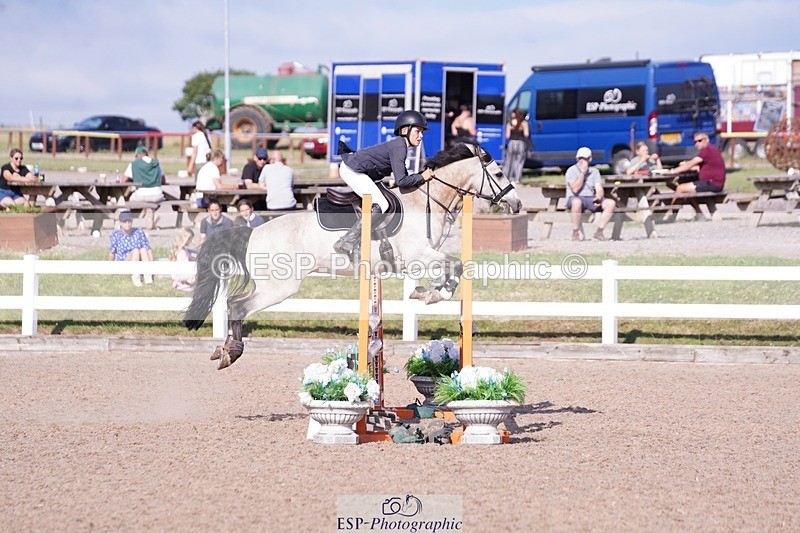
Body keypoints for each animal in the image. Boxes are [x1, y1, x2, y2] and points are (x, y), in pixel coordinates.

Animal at [184, 142, 522, 369]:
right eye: (498, 172)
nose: (517, 204)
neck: (427, 202)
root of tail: (253, 232)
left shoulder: (423, 257)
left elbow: (454, 268)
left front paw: (425, 292)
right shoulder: (418, 255)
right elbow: (456, 266)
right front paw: (431, 294)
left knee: (233, 304)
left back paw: (224, 350)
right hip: (279, 286)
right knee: (237, 305)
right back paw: (231, 352)